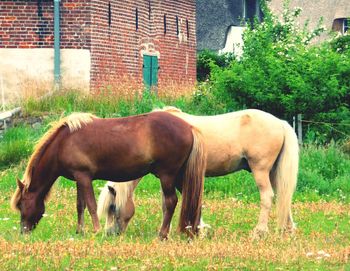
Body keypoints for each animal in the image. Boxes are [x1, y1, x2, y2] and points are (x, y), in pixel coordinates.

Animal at [10, 111, 206, 239]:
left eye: (21, 204)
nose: (23, 231)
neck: (63, 143)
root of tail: (189, 128)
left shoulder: (84, 176)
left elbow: (91, 205)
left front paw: (96, 231)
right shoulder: (78, 178)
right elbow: (80, 205)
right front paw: (79, 231)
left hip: (168, 176)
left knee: (172, 202)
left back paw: (163, 234)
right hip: (180, 176)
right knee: (193, 199)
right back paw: (194, 231)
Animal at [98, 107, 298, 239]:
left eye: (112, 207)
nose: (110, 233)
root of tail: (280, 123)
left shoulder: (174, 176)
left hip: (260, 171)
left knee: (267, 197)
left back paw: (260, 231)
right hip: (273, 173)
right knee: (283, 197)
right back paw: (288, 230)